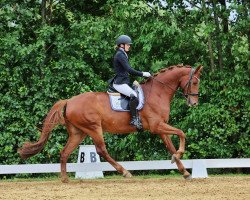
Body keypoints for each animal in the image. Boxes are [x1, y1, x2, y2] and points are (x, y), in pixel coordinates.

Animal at [19, 63, 203, 181]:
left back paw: (65, 179)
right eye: (194, 82)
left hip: (79, 132)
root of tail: (69, 101)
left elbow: (171, 145)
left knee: (64, 152)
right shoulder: (157, 126)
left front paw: (184, 171)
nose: (194, 104)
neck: (157, 92)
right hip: (93, 128)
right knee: (101, 151)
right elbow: (181, 133)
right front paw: (179, 155)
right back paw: (125, 172)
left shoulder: (160, 128)